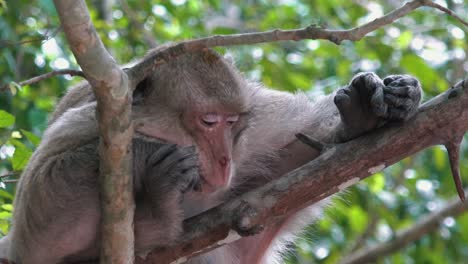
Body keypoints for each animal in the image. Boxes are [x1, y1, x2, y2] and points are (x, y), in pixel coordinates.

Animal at [0, 46, 424, 262]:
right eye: (207, 122)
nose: (224, 160)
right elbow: (40, 235)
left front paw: (391, 103)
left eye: (231, 122)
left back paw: (360, 119)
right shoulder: (92, 120)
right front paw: (144, 152)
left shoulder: (259, 121)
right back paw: (156, 211)